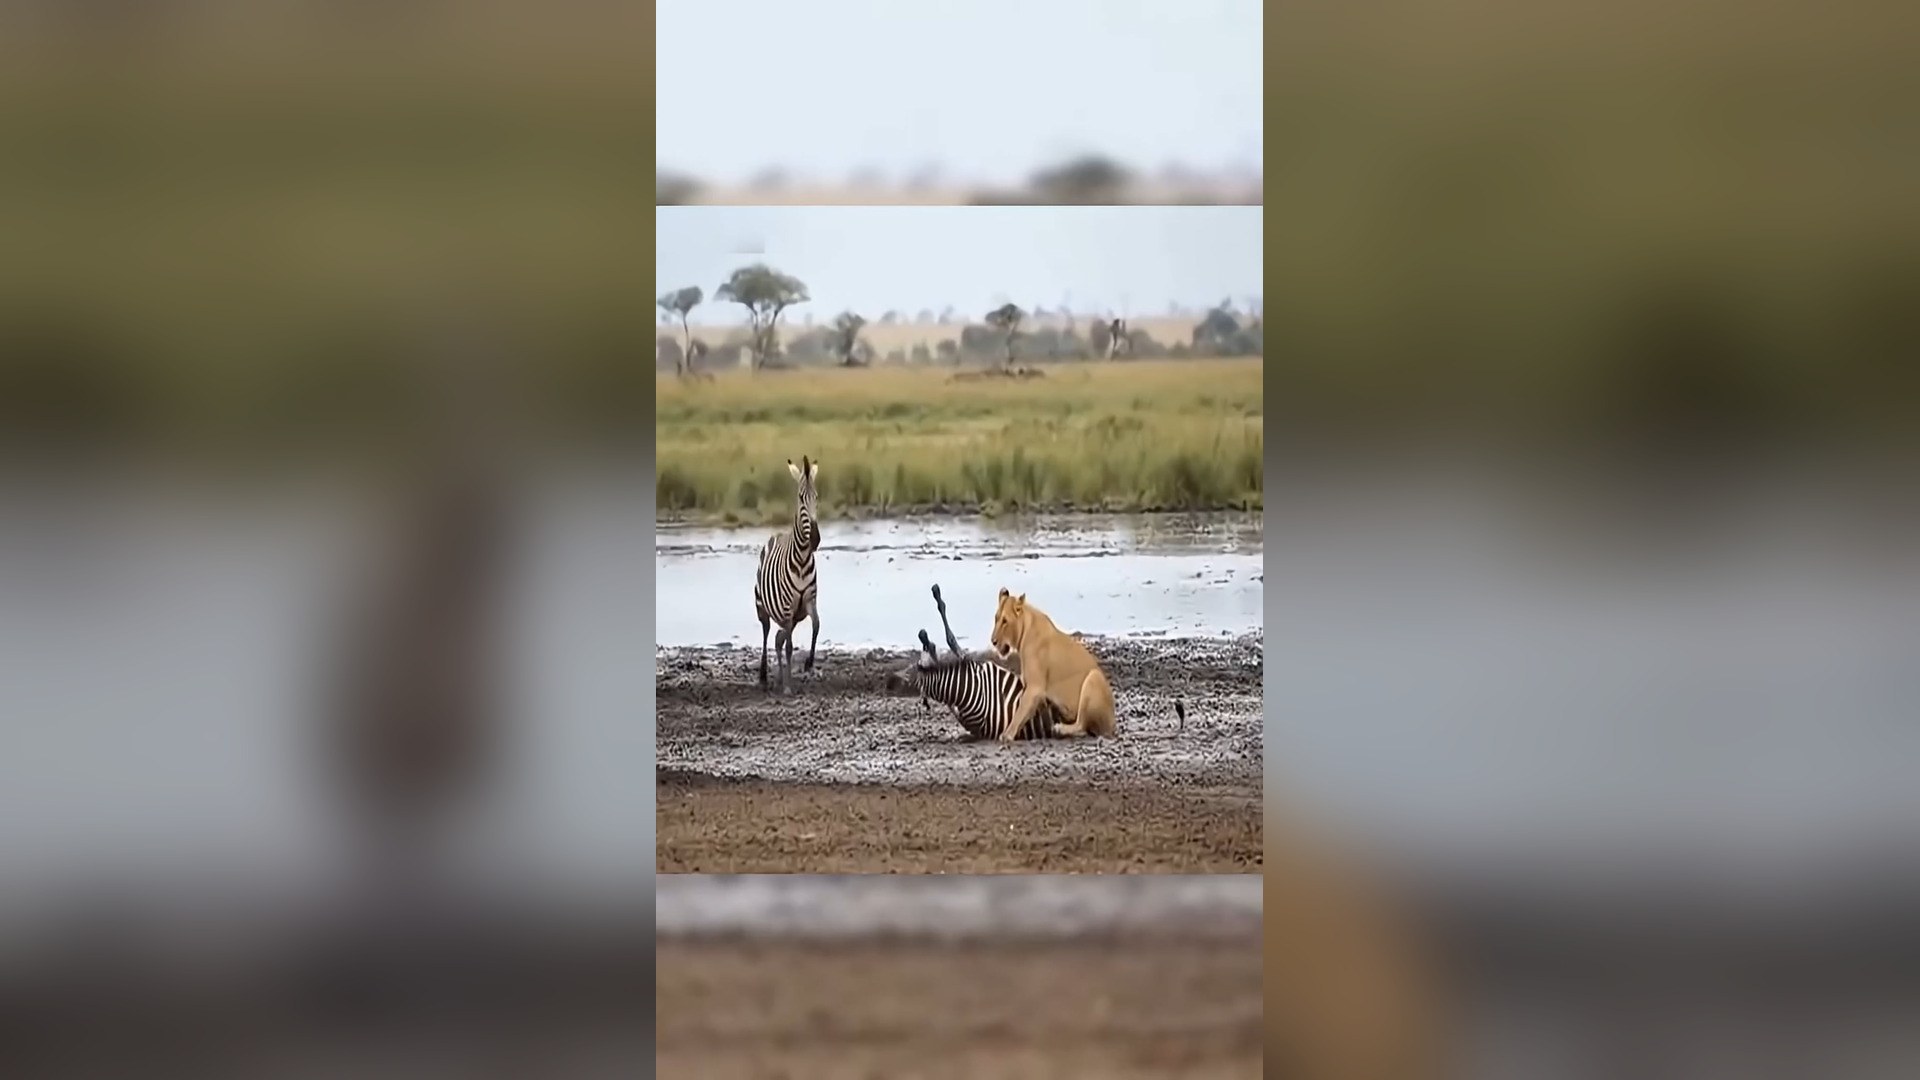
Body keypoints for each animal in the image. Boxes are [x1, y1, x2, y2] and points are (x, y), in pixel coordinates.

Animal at [754, 456, 821, 693]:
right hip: (763, 607)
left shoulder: (809, 600)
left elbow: (817, 626)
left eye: (816, 497)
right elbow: (790, 646)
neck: (801, 559)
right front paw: (789, 686)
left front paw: (809, 663)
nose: (815, 540)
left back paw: (779, 677)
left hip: (794, 615)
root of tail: (776, 534)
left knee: (778, 638)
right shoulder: (787, 606)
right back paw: (765, 676)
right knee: (767, 635)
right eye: (801, 498)